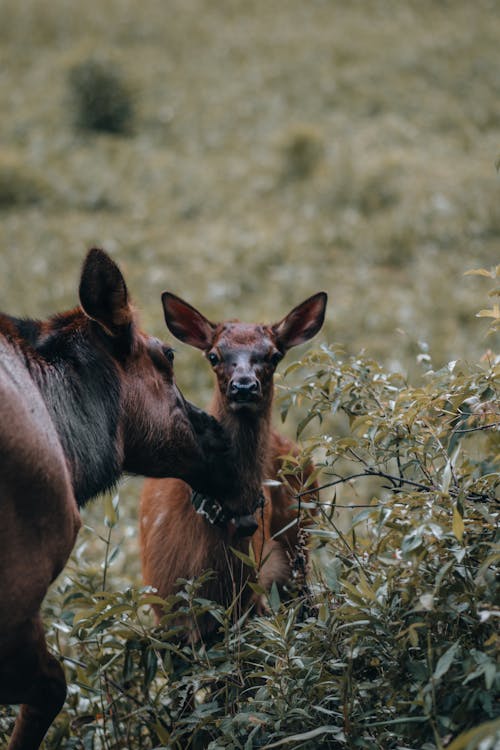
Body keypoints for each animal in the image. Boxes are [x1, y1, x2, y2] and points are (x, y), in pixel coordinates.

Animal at [141, 292, 328, 640]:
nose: (243, 386)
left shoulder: (252, 603)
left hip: (300, 539)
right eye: (214, 355)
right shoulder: (166, 610)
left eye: (274, 355)